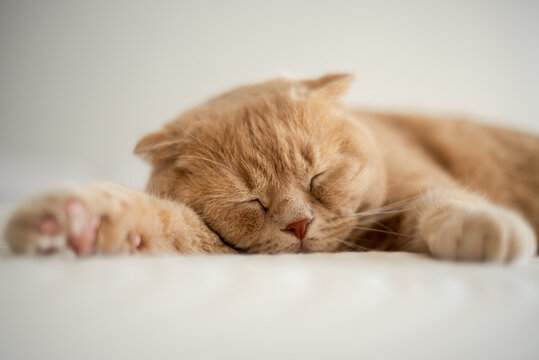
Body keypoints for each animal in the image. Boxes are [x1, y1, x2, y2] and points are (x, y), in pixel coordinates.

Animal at [4, 74, 539, 262]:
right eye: (250, 201)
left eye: (318, 177)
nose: (299, 224)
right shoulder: (214, 242)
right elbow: (160, 221)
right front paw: (72, 223)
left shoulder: (416, 191)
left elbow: (445, 203)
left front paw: (484, 228)